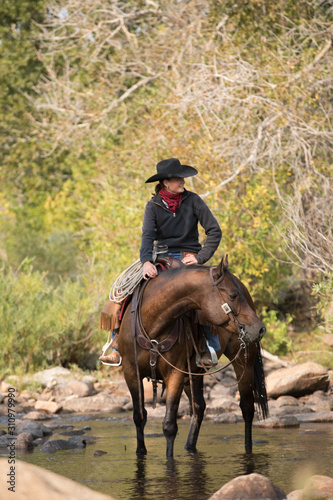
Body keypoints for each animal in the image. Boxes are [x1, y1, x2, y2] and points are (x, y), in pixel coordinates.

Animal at [116, 256, 268, 458]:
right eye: (233, 295)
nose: (259, 329)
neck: (154, 324)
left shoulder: (175, 374)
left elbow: (169, 426)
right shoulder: (131, 373)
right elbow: (139, 417)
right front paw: (141, 452)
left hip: (244, 363)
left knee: (247, 408)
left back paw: (247, 447)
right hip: (194, 374)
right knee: (199, 407)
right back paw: (189, 446)